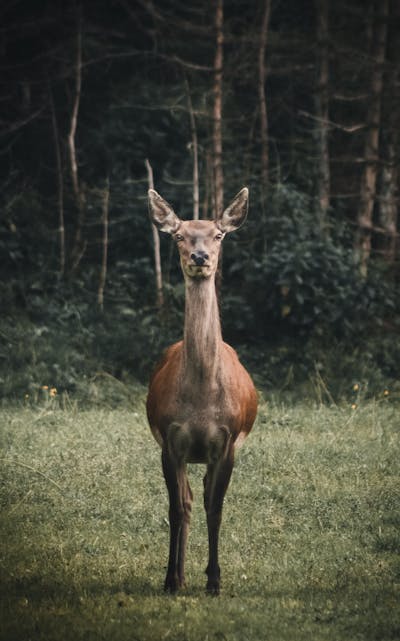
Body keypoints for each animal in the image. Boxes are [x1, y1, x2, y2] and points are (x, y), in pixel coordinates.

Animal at [146, 186, 256, 596]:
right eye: (178, 236)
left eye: (218, 234)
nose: (200, 257)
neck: (201, 403)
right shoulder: (170, 441)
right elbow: (177, 508)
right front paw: (171, 579)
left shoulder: (226, 442)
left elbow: (216, 507)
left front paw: (214, 581)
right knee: (189, 501)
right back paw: (179, 574)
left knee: (203, 497)